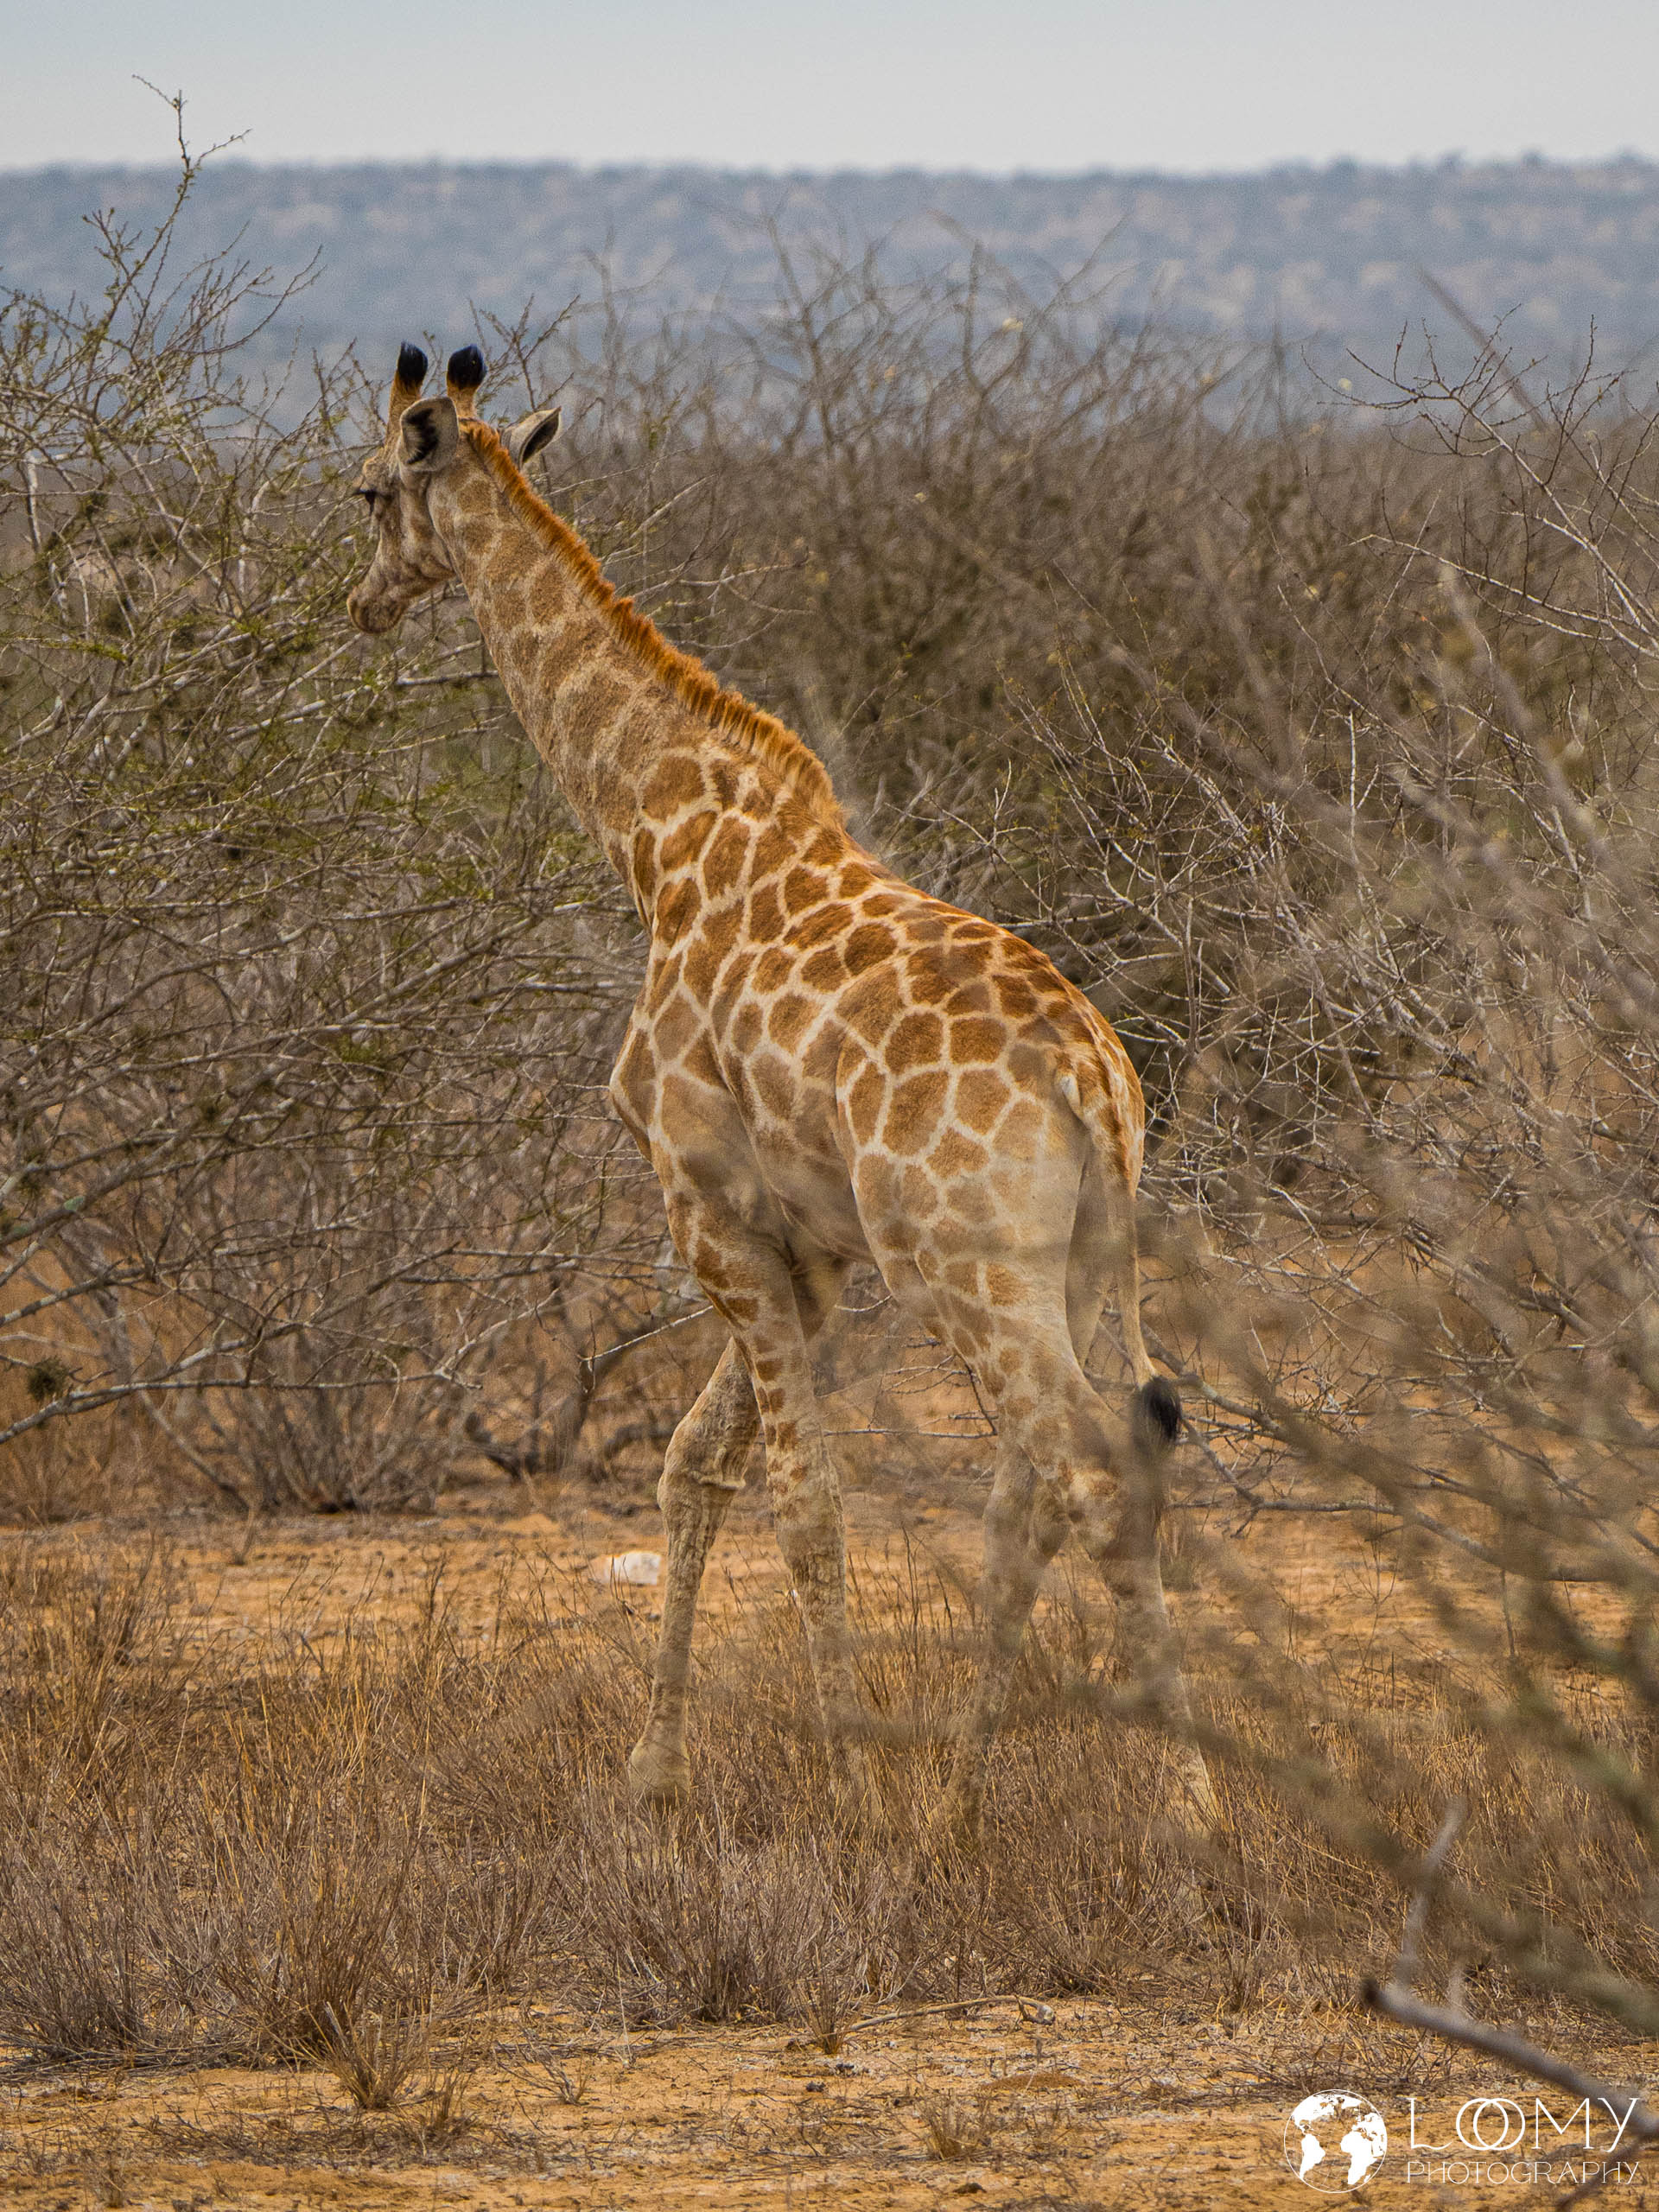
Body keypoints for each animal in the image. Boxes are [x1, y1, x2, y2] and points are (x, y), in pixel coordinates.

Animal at [347, 343, 1216, 1844]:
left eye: (361, 491)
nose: (357, 607)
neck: (654, 833)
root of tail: (1090, 1077)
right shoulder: (806, 1247)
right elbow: (700, 1467)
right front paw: (655, 1775)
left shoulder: (712, 1210)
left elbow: (800, 1501)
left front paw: (848, 1781)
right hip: (1077, 1264)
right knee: (1053, 1477)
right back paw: (971, 1791)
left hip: (968, 1267)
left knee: (1086, 1469)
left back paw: (1174, 1806)